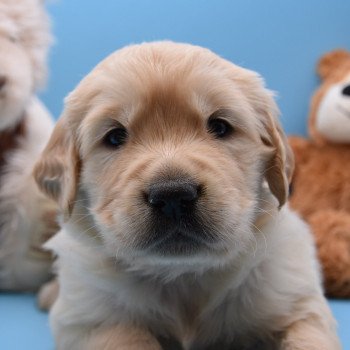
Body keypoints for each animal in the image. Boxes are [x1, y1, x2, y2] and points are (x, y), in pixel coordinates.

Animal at [34, 41, 340, 350]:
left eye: (220, 127)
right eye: (114, 137)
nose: (173, 196)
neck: (184, 276)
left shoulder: (295, 299)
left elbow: (309, 337)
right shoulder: (96, 320)